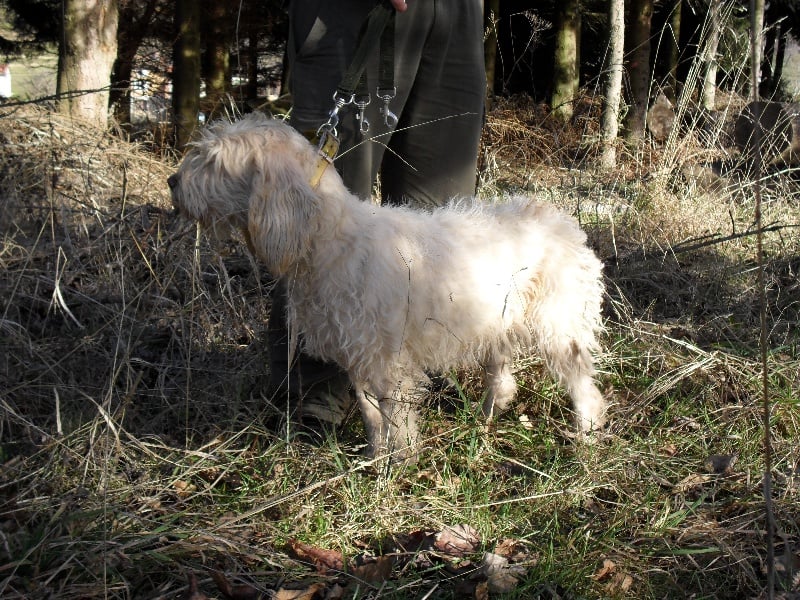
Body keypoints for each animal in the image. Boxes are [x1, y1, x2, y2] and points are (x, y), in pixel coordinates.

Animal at [168, 113, 607, 460]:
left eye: (213, 161)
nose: (172, 181)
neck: (331, 238)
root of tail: (558, 219)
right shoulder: (359, 356)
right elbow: (370, 414)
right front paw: (374, 458)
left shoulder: (386, 361)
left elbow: (394, 417)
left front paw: (399, 464)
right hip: (496, 322)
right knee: (502, 374)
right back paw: (486, 416)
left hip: (558, 327)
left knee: (582, 382)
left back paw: (585, 434)